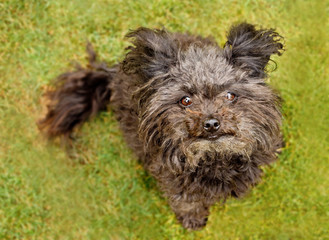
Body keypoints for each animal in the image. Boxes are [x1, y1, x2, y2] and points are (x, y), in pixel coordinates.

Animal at [38, 23, 284, 231]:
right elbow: (187, 203)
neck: (214, 157)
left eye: (230, 95)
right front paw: (193, 220)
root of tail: (113, 74)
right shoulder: (174, 181)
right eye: (185, 100)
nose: (211, 123)